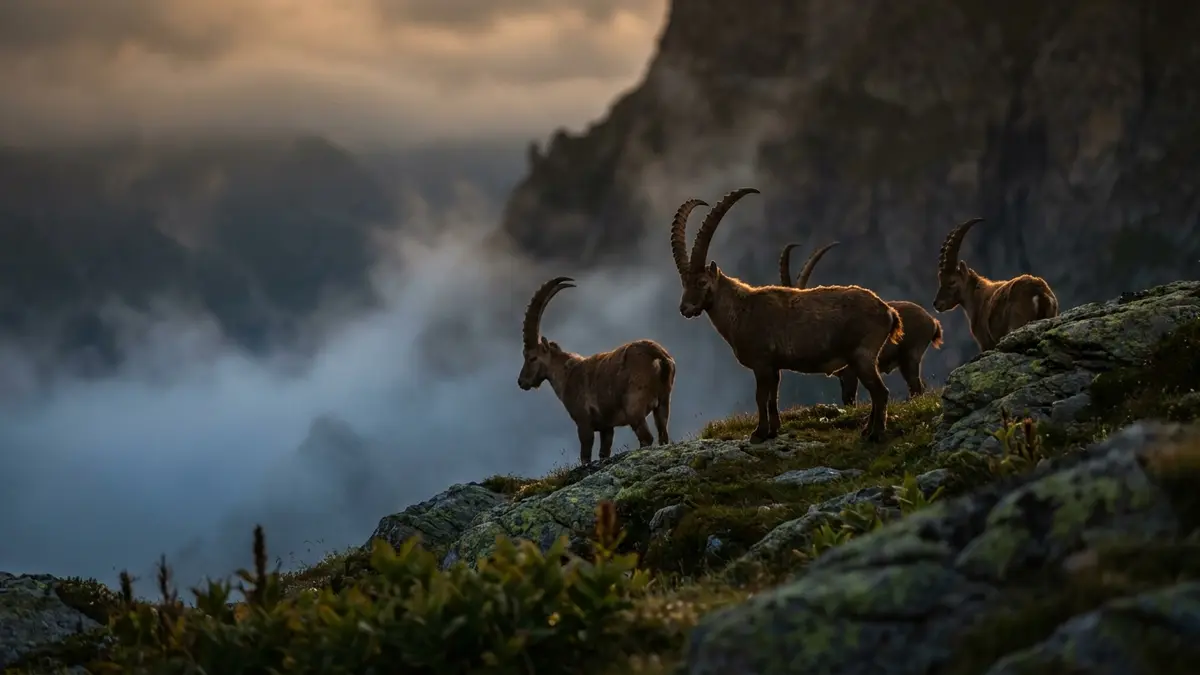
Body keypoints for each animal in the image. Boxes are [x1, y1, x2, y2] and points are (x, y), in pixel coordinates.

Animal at [517, 276, 676, 464]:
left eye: (532, 357)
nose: (521, 381)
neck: (567, 374)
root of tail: (657, 354)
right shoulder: (606, 427)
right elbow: (604, 452)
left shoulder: (584, 422)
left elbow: (585, 454)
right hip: (664, 402)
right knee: (663, 433)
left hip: (634, 408)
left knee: (646, 437)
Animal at [671, 188, 904, 443]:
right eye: (684, 283)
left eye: (702, 282)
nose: (685, 309)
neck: (742, 310)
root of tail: (888, 311)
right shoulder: (775, 366)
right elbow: (773, 398)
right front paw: (772, 431)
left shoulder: (762, 363)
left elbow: (761, 397)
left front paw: (758, 433)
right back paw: (867, 430)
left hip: (863, 355)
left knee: (881, 392)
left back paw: (876, 433)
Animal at [932, 218, 1059, 352]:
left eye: (952, 281)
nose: (936, 303)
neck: (976, 298)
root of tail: (1039, 292)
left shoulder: (985, 343)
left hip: (1018, 323)